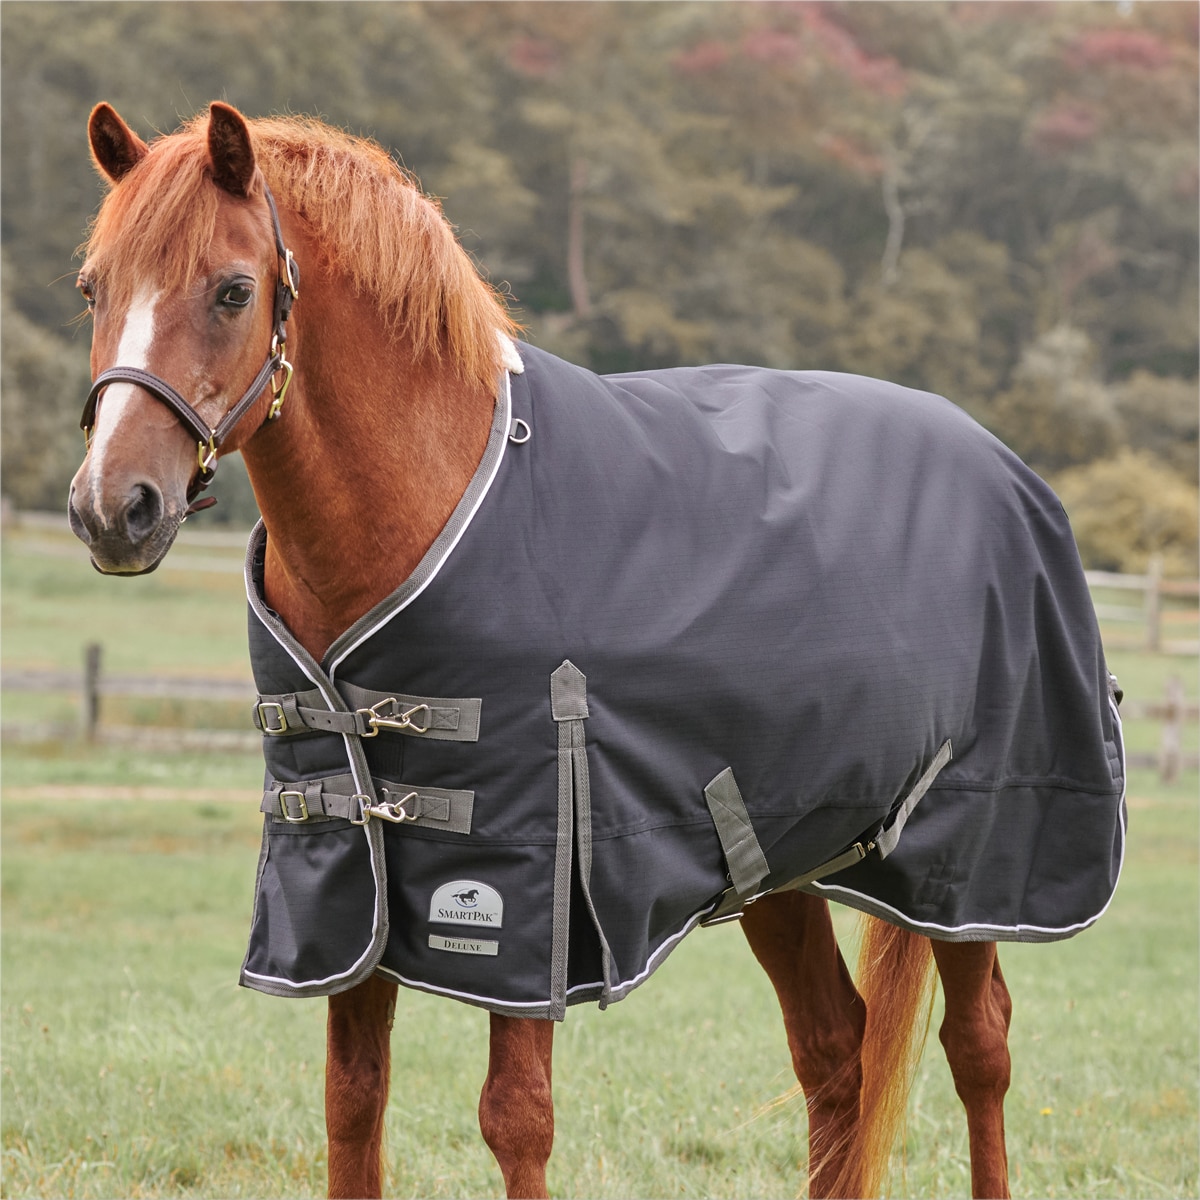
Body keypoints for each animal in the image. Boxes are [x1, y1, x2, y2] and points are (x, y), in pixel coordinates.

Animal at [67, 101, 1124, 1200]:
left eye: (232, 290)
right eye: (92, 288)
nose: (112, 508)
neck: (427, 494)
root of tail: (1005, 466)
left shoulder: (522, 892)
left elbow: (516, 1118)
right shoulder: (351, 885)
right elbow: (352, 1105)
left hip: (975, 862)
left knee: (980, 1047)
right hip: (777, 859)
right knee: (837, 1055)